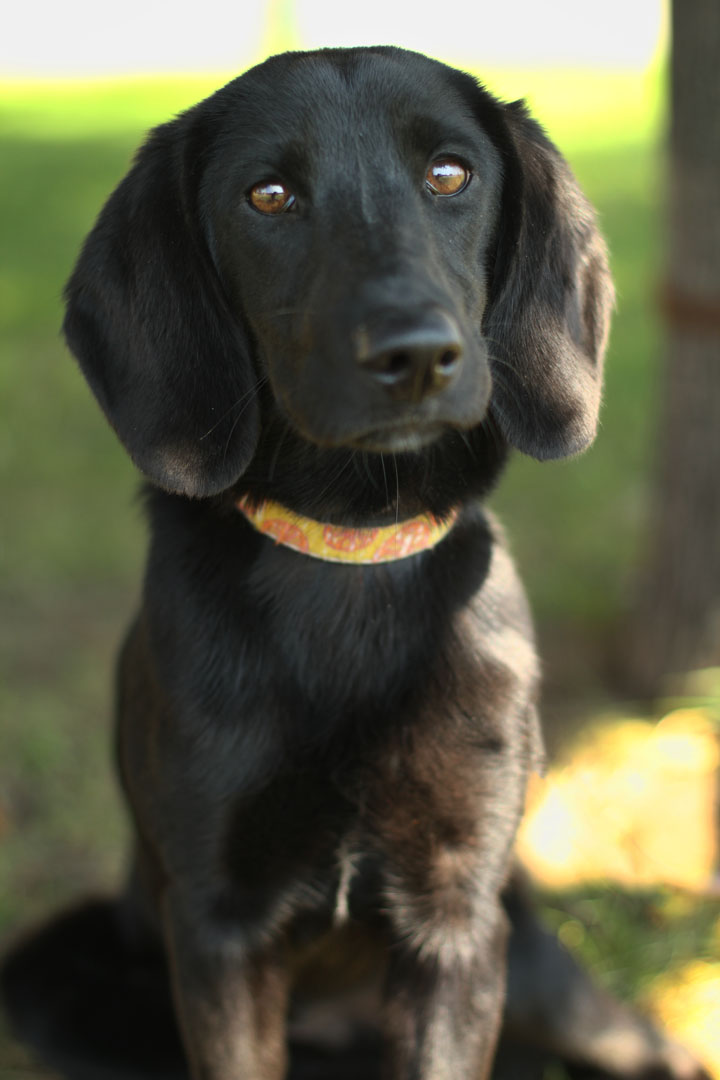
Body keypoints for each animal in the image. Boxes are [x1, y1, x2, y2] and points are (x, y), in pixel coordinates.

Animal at [2, 46, 708, 1080]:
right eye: (269, 195)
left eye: (450, 174)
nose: (416, 356)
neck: (352, 556)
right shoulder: (217, 927)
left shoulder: (458, 921)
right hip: (61, 971)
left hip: (549, 980)